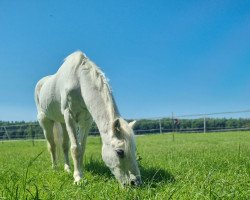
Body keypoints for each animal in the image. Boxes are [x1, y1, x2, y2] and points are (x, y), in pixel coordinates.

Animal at [34, 50, 142, 186]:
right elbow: (75, 148)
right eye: (120, 152)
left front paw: (79, 172)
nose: (136, 183)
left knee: (64, 145)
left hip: (63, 122)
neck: (79, 81)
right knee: (52, 145)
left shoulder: (86, 121)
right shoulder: (69, 116)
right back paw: (55, 168)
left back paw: (67, 169)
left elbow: (82, 147)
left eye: (134, 149)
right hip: (45, 121)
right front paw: (78, 178)